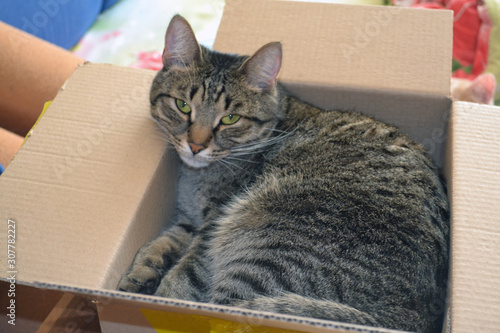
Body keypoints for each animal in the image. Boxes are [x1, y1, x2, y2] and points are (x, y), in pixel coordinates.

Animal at [119, 14, 452, 330]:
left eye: (230, 118)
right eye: (183, 106)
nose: (196, 145)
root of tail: (412, 318)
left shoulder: (213, 223)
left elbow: (186, 272)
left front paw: (164, 293)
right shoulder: (189, 221)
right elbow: (159, 244)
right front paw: (139, 274)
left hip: (270, 244)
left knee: (226, 309)